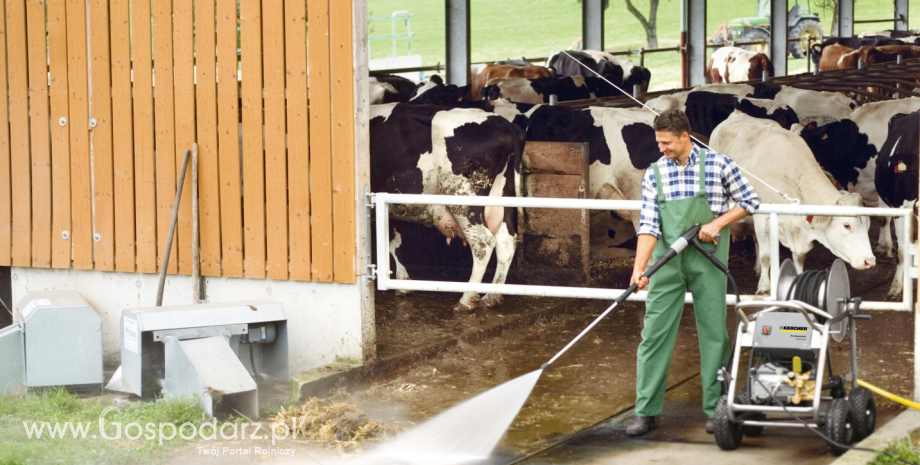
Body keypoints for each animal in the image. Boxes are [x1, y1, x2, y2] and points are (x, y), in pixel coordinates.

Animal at [368, 103, 524, 310]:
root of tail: (503, 122)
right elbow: (393, 240)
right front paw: (403, 283)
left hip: (464, 200)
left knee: (483, 242)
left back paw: (466, 299)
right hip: (501, 198)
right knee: (506, 241)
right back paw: (491, 296)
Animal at [712, 111, 876, 292]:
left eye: (868, 225)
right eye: (847, 225)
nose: (869, 261)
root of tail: (737, 113)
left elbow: (798, 257)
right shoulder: (761, 217)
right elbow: (766, 256)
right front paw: (764, 286)